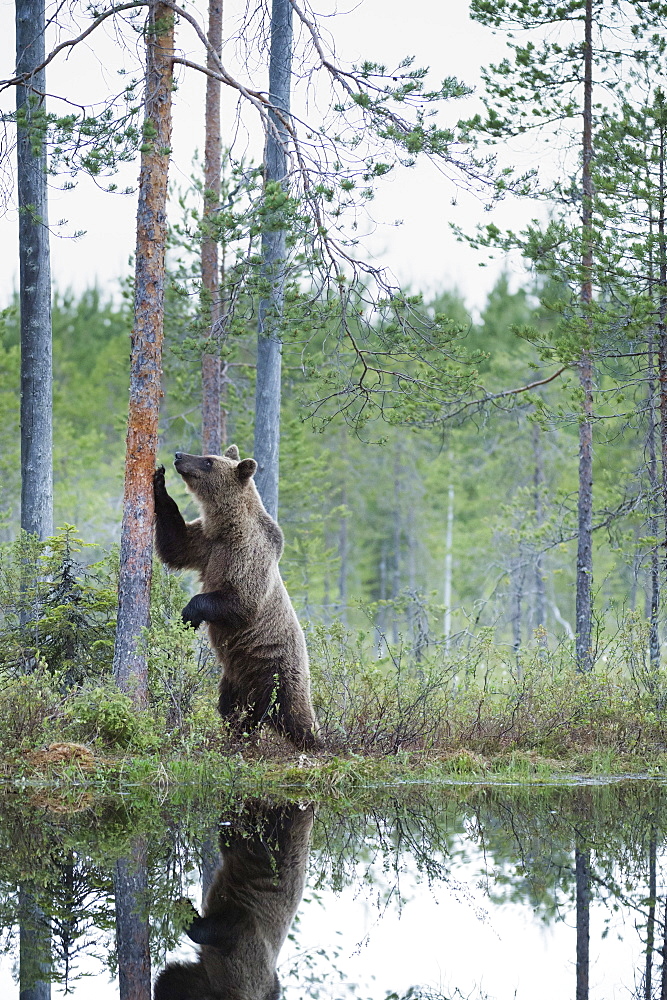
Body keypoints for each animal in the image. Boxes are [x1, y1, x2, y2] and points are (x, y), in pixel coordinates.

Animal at [154, 446, 320, 752]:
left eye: (208, 461)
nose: (179, 455)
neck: (228, 527)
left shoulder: (246, 557)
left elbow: (241, 602)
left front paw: (188, 616)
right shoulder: (207, 544)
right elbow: (175, 544)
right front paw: (159, 482)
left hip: (275, 669)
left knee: (288, 710)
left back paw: (312, 740)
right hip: (235, 675)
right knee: (230, 706)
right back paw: (236, 733)